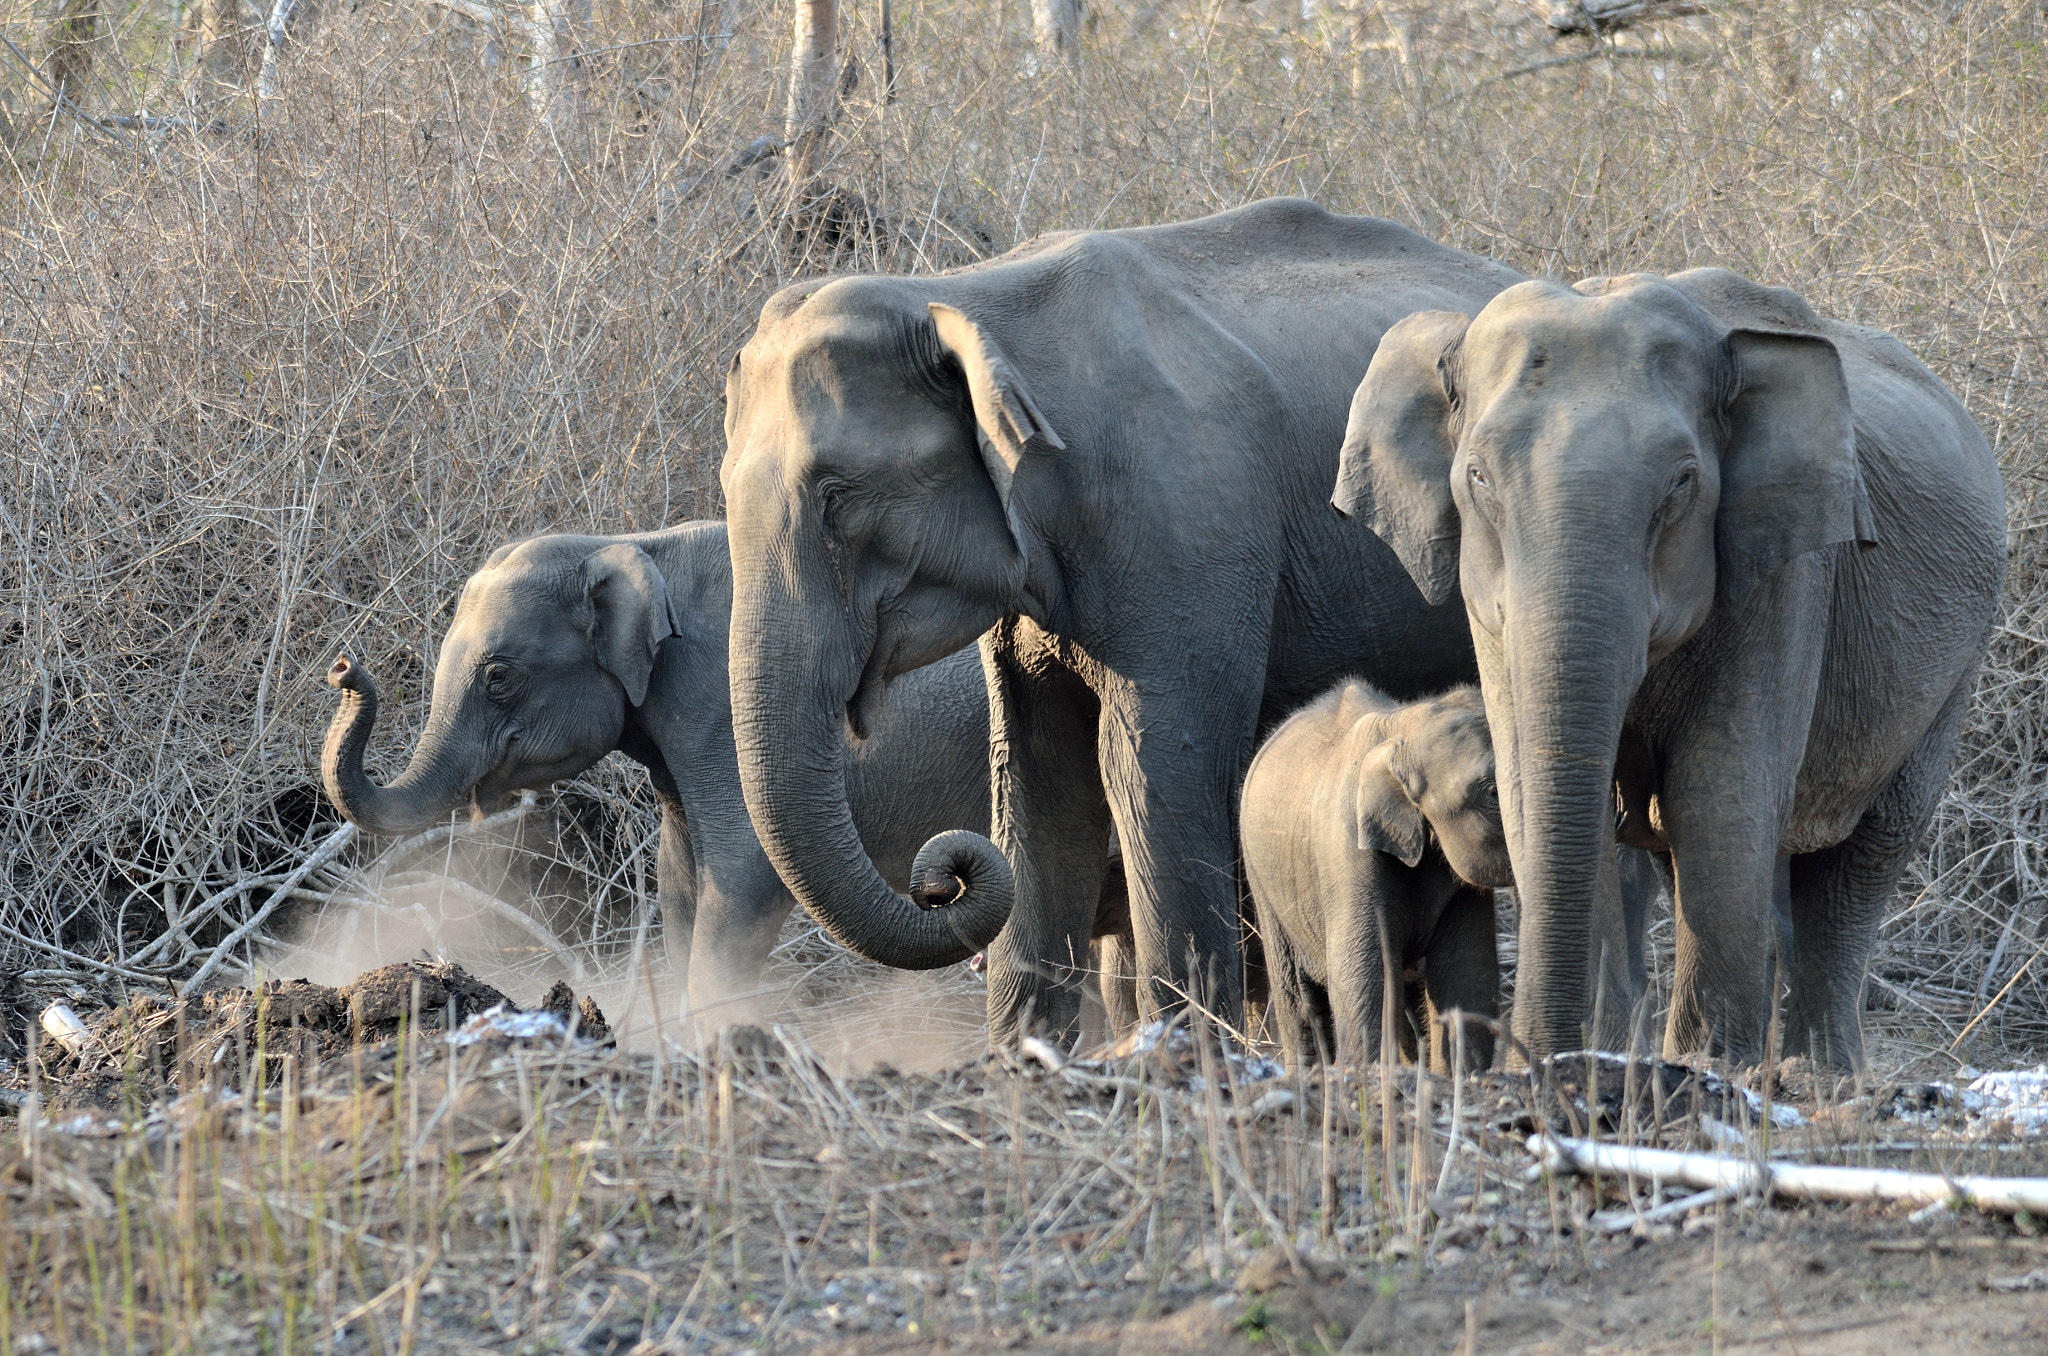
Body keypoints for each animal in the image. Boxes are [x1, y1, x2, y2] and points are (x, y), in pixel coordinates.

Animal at [1236, 684, 1515, 1081]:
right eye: (1493, 791)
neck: (1403, 726)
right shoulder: (1347, 847)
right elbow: (1364, 971)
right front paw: (1369, 1077)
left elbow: (1465, 971)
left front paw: (1460, 1077)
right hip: (1263, 880)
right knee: (1297, 995)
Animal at [1327, 266, 1998, 1073]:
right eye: (1479, 477)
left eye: (1682, 483)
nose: (1530, 1060)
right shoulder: (1488, 609)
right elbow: (1538, 784)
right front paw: (1604, 1060)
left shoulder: (1784, 566)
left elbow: (1720, 792)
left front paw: (1701, 1064)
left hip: (1956, 666)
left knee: (1869, 849)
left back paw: (1817, 1074)